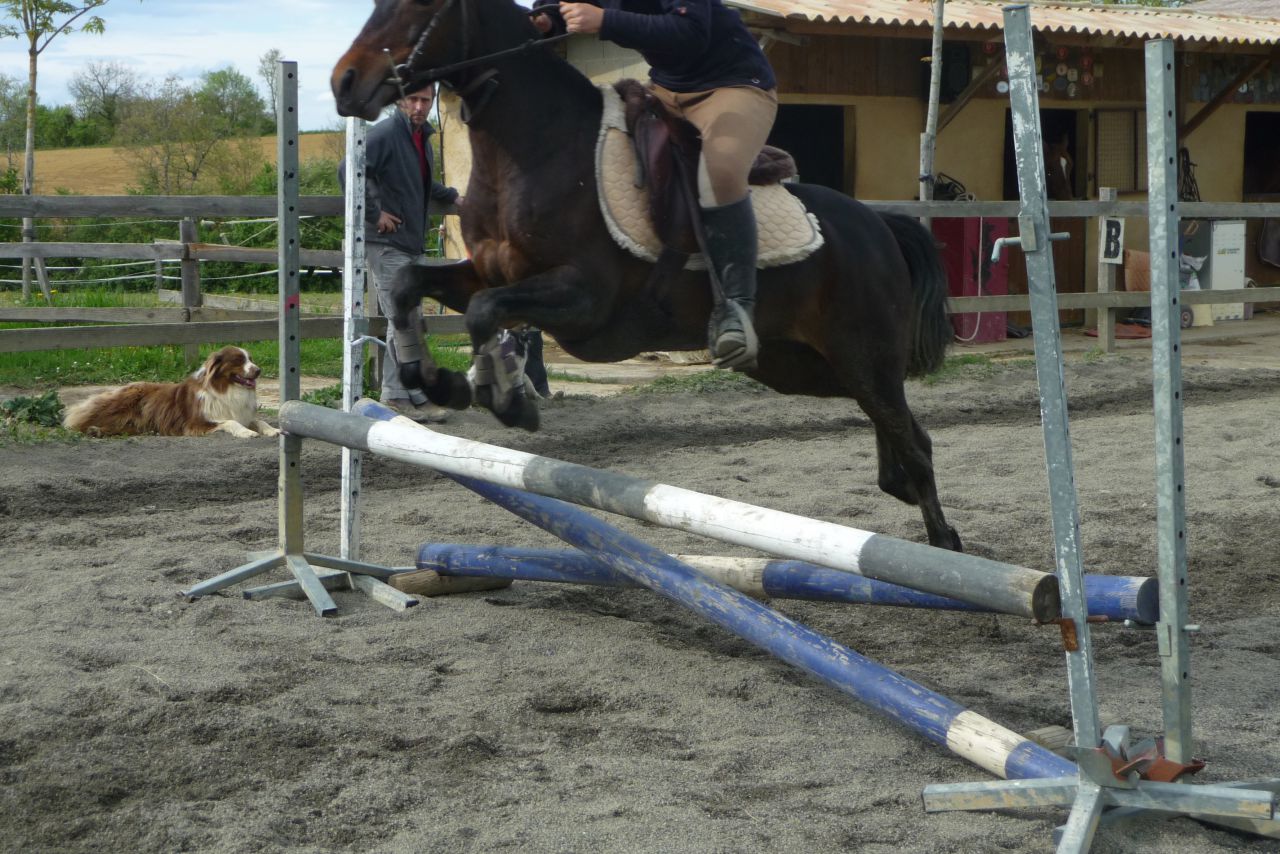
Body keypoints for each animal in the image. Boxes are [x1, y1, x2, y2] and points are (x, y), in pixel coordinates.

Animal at [62, 346, 281, 439]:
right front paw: (247, 432)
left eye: (251, 359)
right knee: (82, 423)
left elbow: (260, 421)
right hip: (121, 405)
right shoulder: (196, 422)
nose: (258, 371)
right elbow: (231, 422)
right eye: (238, 360)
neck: (228, 391)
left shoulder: (243, 414)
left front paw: (272, 430)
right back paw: (93, 429)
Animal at [330, 0, 963, 552]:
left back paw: (947, 544)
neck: (534, 148)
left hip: (861, 353)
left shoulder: (585, 301)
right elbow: (410, 285)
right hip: (802, 365)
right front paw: (437, 381)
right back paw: (902, 492)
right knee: (892, 425)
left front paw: (505, 399)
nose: (344, 84)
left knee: (914, 437)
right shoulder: (487, 273)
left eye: (422, 3)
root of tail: (879, 226)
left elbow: (487, 313)